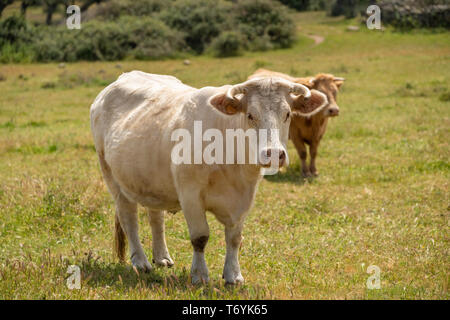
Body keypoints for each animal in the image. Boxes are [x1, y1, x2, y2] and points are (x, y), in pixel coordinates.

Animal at [89, 70, 326, 284]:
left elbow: (234, 238)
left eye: (287, 114)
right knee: (129, 219)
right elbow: (200, 237)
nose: (274, 154)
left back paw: (162, 257)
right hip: (112, 177)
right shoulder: (190, 195)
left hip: (151, 181)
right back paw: (140, 261)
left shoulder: (245, 198)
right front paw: (200, 275)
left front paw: (233, 275)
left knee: (156, 218)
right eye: (250, 115)